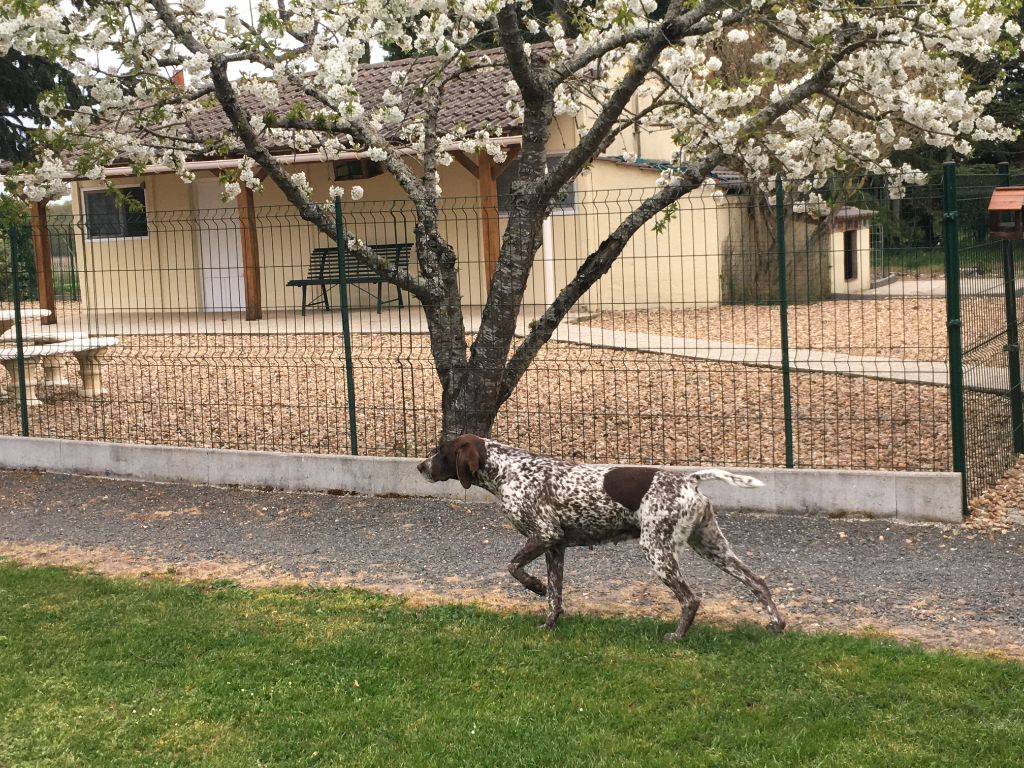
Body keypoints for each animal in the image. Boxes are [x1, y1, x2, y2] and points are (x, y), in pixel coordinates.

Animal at [415, 436, 782, 638]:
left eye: (441, 450)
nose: (420, 467)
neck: (509, 470)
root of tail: (687, 480)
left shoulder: (543, 534)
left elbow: (513, 568)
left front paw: (535, 586)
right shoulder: (555, 547)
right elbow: (556, 597)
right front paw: (549, 625)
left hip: (657, 549)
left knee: (690, 599)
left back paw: (677, 637)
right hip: (711, 546)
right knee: (757, 582)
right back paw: (777, 624)